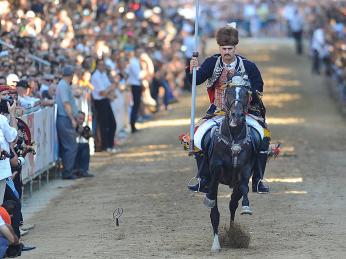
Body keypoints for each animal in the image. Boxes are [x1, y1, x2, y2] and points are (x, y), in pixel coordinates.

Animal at [201, 85, 260, 252]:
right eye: (229, 93)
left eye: (246, 93)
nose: (237, 115)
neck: (233, 137)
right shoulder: (215, 169)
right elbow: (213, 206)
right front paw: (216, 244)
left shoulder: (245, 170)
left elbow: (245, 188)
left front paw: (246, 207)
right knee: (216, 210)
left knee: (232, 204)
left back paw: (233, 233)